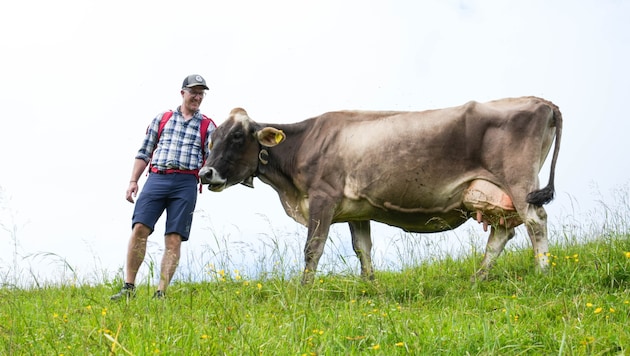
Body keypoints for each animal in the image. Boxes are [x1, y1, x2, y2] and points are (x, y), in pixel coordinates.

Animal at [201, 96, 564, 284]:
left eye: (237, 136)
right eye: (212, 138)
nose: (205, 173)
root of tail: (541, 101)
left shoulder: (323, 197)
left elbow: (312, 249)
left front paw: (303, 289)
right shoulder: (355, 209)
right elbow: (363, 249)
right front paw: (371, 287)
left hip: (519, 181)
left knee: (536, 222)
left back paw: (542, 272)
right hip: (495, 193)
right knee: (502, 234)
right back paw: (477, 278)